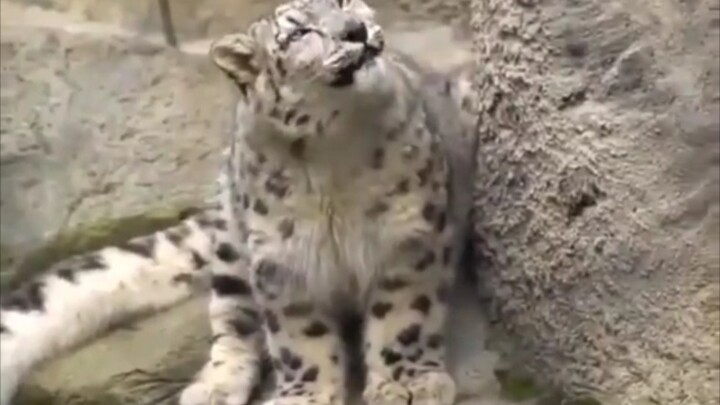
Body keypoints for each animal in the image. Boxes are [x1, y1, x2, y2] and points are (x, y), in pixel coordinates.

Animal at [0, 0, 478, 404]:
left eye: (346, 4)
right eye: (299, 32)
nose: (356, 30)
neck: (333, 157)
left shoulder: (409, 234)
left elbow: (404, 316)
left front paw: (407, 383)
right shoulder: (280, 259)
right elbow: (297, 338)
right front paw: (305, 394)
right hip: (233, 247)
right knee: (232, 323)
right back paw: (213, 387)